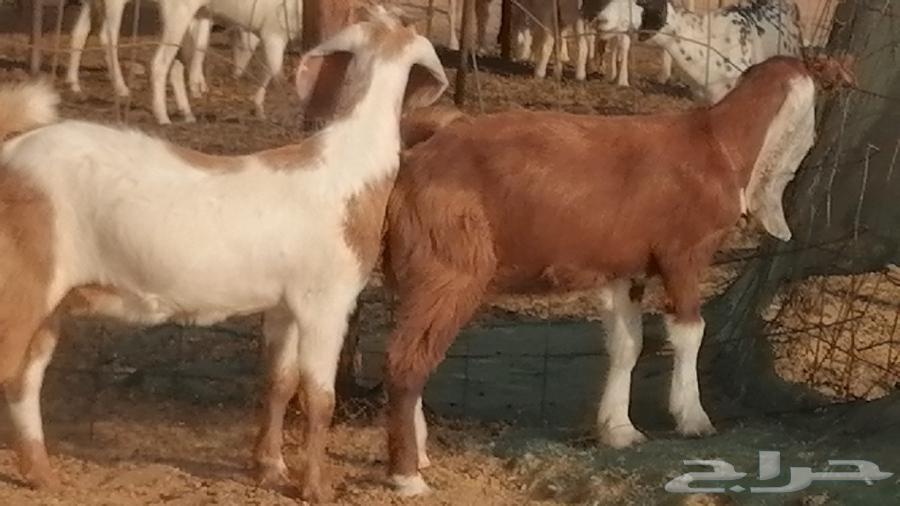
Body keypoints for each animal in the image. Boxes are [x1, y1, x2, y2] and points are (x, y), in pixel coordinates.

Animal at [0, 11, 447, 502]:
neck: (348, 166)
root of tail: (10, 155)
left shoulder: (284, 305)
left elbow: (279, 382)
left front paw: (270, 469)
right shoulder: (326, 301)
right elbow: (318, 397)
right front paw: (316, 487)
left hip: (49, 302)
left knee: (23, 380)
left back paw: (42, 475)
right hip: (18, 282)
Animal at [382, 56, 822, 496]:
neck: (716, 142)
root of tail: (414, 159)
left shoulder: (627, 269)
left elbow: (627, 344)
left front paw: (619, 430)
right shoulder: (682, 255)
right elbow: (689, 332)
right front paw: (694, 419)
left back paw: (420, 454)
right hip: (448, 264)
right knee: (408, 359)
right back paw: (408, 476)